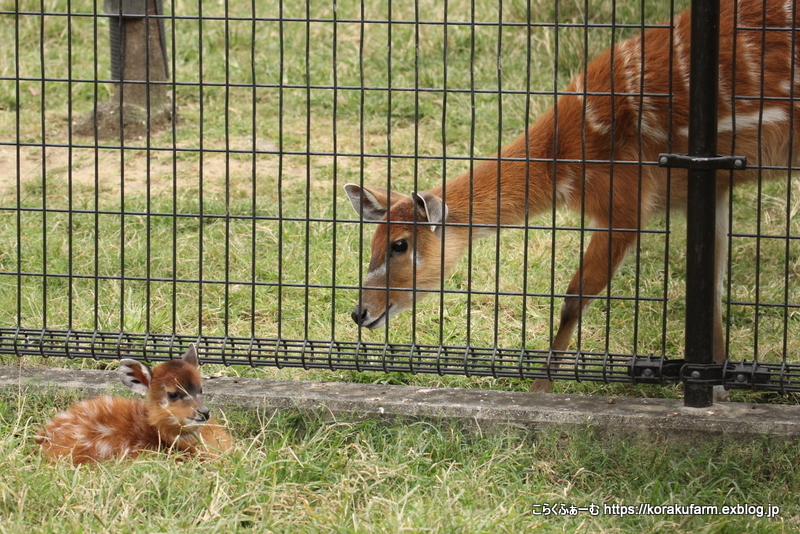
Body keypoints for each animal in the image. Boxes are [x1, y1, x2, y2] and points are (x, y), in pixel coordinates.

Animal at [344, 0, 800, 394]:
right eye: (372, 241)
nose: (360, 312)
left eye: (399, 245)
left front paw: (540, 387)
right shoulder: (710, 189)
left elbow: (573, 298)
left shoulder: (626, 204)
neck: (567, 154)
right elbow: (711, 291)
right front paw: (718, 387)